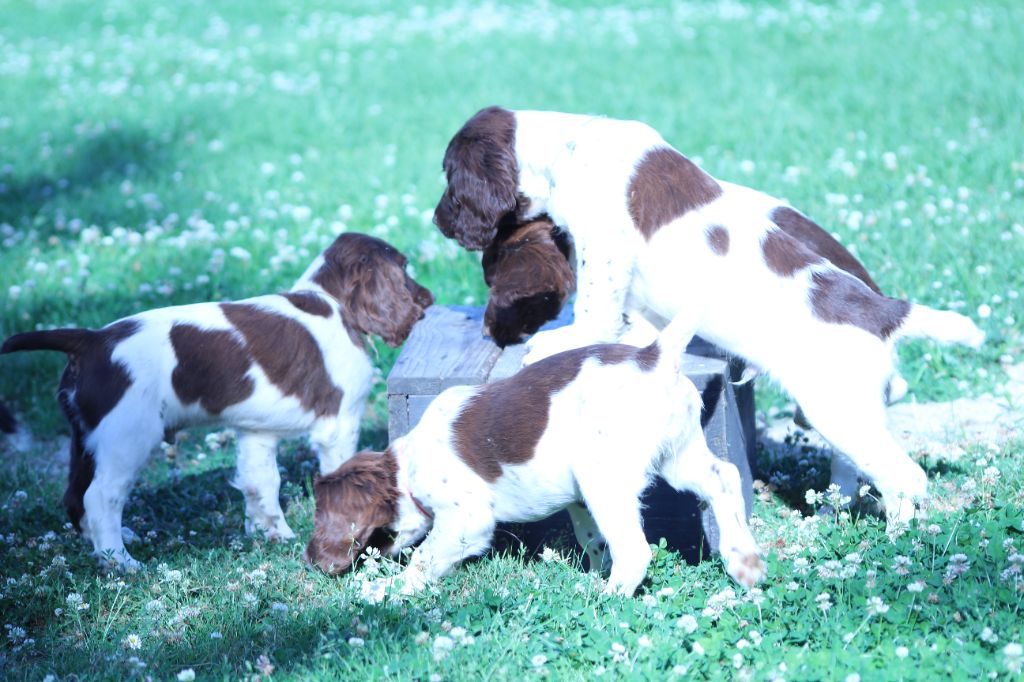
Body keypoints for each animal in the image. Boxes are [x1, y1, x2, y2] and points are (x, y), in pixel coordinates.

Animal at [0, 231, 432, 565]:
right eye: (405, 267)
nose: (427, 300)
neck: (332, 303)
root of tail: (90, 341)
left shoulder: (257, 433)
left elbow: (261, 483)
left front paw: (272, 534)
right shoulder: (339, 423)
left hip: (85, 436)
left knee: (75, 495)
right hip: (126, 436)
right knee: (100, 496)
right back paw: (119, 561)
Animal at [301, 311, 761, 598]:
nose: (309, 562)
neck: (407, 466)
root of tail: (654, 355)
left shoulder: (467, 519)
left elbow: (425, 559)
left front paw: (385, 591)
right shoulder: (579, 502)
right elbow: (593, 539)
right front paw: (590, 572)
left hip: (604, 476)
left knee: (636, 551)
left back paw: (609, 598)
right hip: (677, 454)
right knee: (724, 479)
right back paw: (744, 561)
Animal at [432, 107, 983, 532]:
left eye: (449, 178)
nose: (438, 221)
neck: (566, 144)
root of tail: (883, 309)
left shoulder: (604, 246)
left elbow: (594, 308)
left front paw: (561, 340)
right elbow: (642, 321)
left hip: (837, 408)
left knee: (905, 476)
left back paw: (896, 542)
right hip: (849, 410)